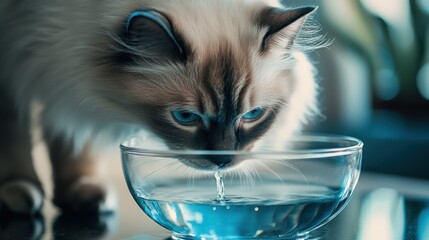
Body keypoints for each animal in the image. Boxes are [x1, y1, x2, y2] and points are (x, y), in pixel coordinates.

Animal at [0, 0, 320, 214]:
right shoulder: (15, 66)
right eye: (186, 117)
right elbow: (14, 139)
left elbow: (74, 139)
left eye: (252, 115)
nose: (222, 161)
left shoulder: (72, 93)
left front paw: (82, 189)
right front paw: (16, 187)